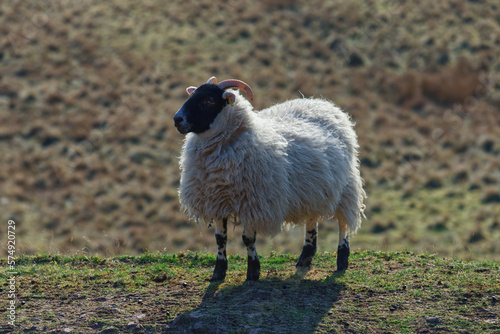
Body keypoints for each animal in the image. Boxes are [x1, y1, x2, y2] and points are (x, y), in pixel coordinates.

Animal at [174, 76, 366, 282]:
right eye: (192, 95)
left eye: (208, 100)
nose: (177, 119)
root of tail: (323, 103)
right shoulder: (217, 201)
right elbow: (220, 239)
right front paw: (218, 272)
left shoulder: (252, 203)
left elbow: (248, 239)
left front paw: (253, 272)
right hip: (312, 189)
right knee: (311, 219)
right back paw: (306, 256)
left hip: (346, 186)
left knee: (343, 222)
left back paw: (342, 259)